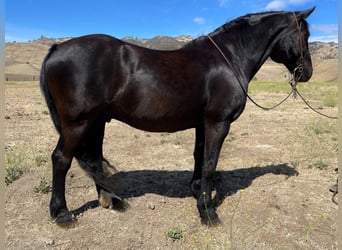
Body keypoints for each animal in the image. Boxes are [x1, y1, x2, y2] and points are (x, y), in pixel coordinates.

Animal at [40, 7, 316, 225]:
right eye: (305, 35)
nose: (307, 73)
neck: (229, 59)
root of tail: (57, 48)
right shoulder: (218, 123)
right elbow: (209, 163)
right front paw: (208, 212)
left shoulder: (203, 124)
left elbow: (199, 157)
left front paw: (197, 193)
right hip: (77, 123)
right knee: (61, 159)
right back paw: (62, 213)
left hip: (96, 122)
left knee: (93, 158)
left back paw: (111, 199)